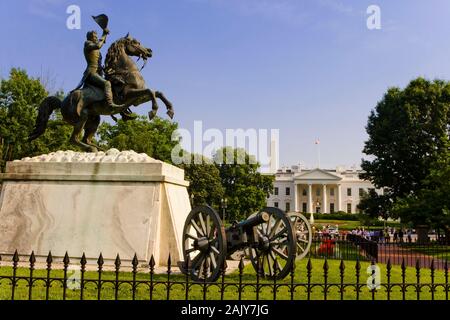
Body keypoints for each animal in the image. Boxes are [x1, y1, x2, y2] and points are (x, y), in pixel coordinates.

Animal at [28, 34, 172, 152]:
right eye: (136, 42)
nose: (149, 51)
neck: (126, 71)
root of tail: (61, 102)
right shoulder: (128, 95)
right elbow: (151, 91)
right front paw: (153, 111)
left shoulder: (137, 99)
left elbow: (158, 93)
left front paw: (170, 110)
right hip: (82, 116)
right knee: (74, 139)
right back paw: (91, 149)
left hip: (94, 120)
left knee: (86, 138)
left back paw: (100, 148)